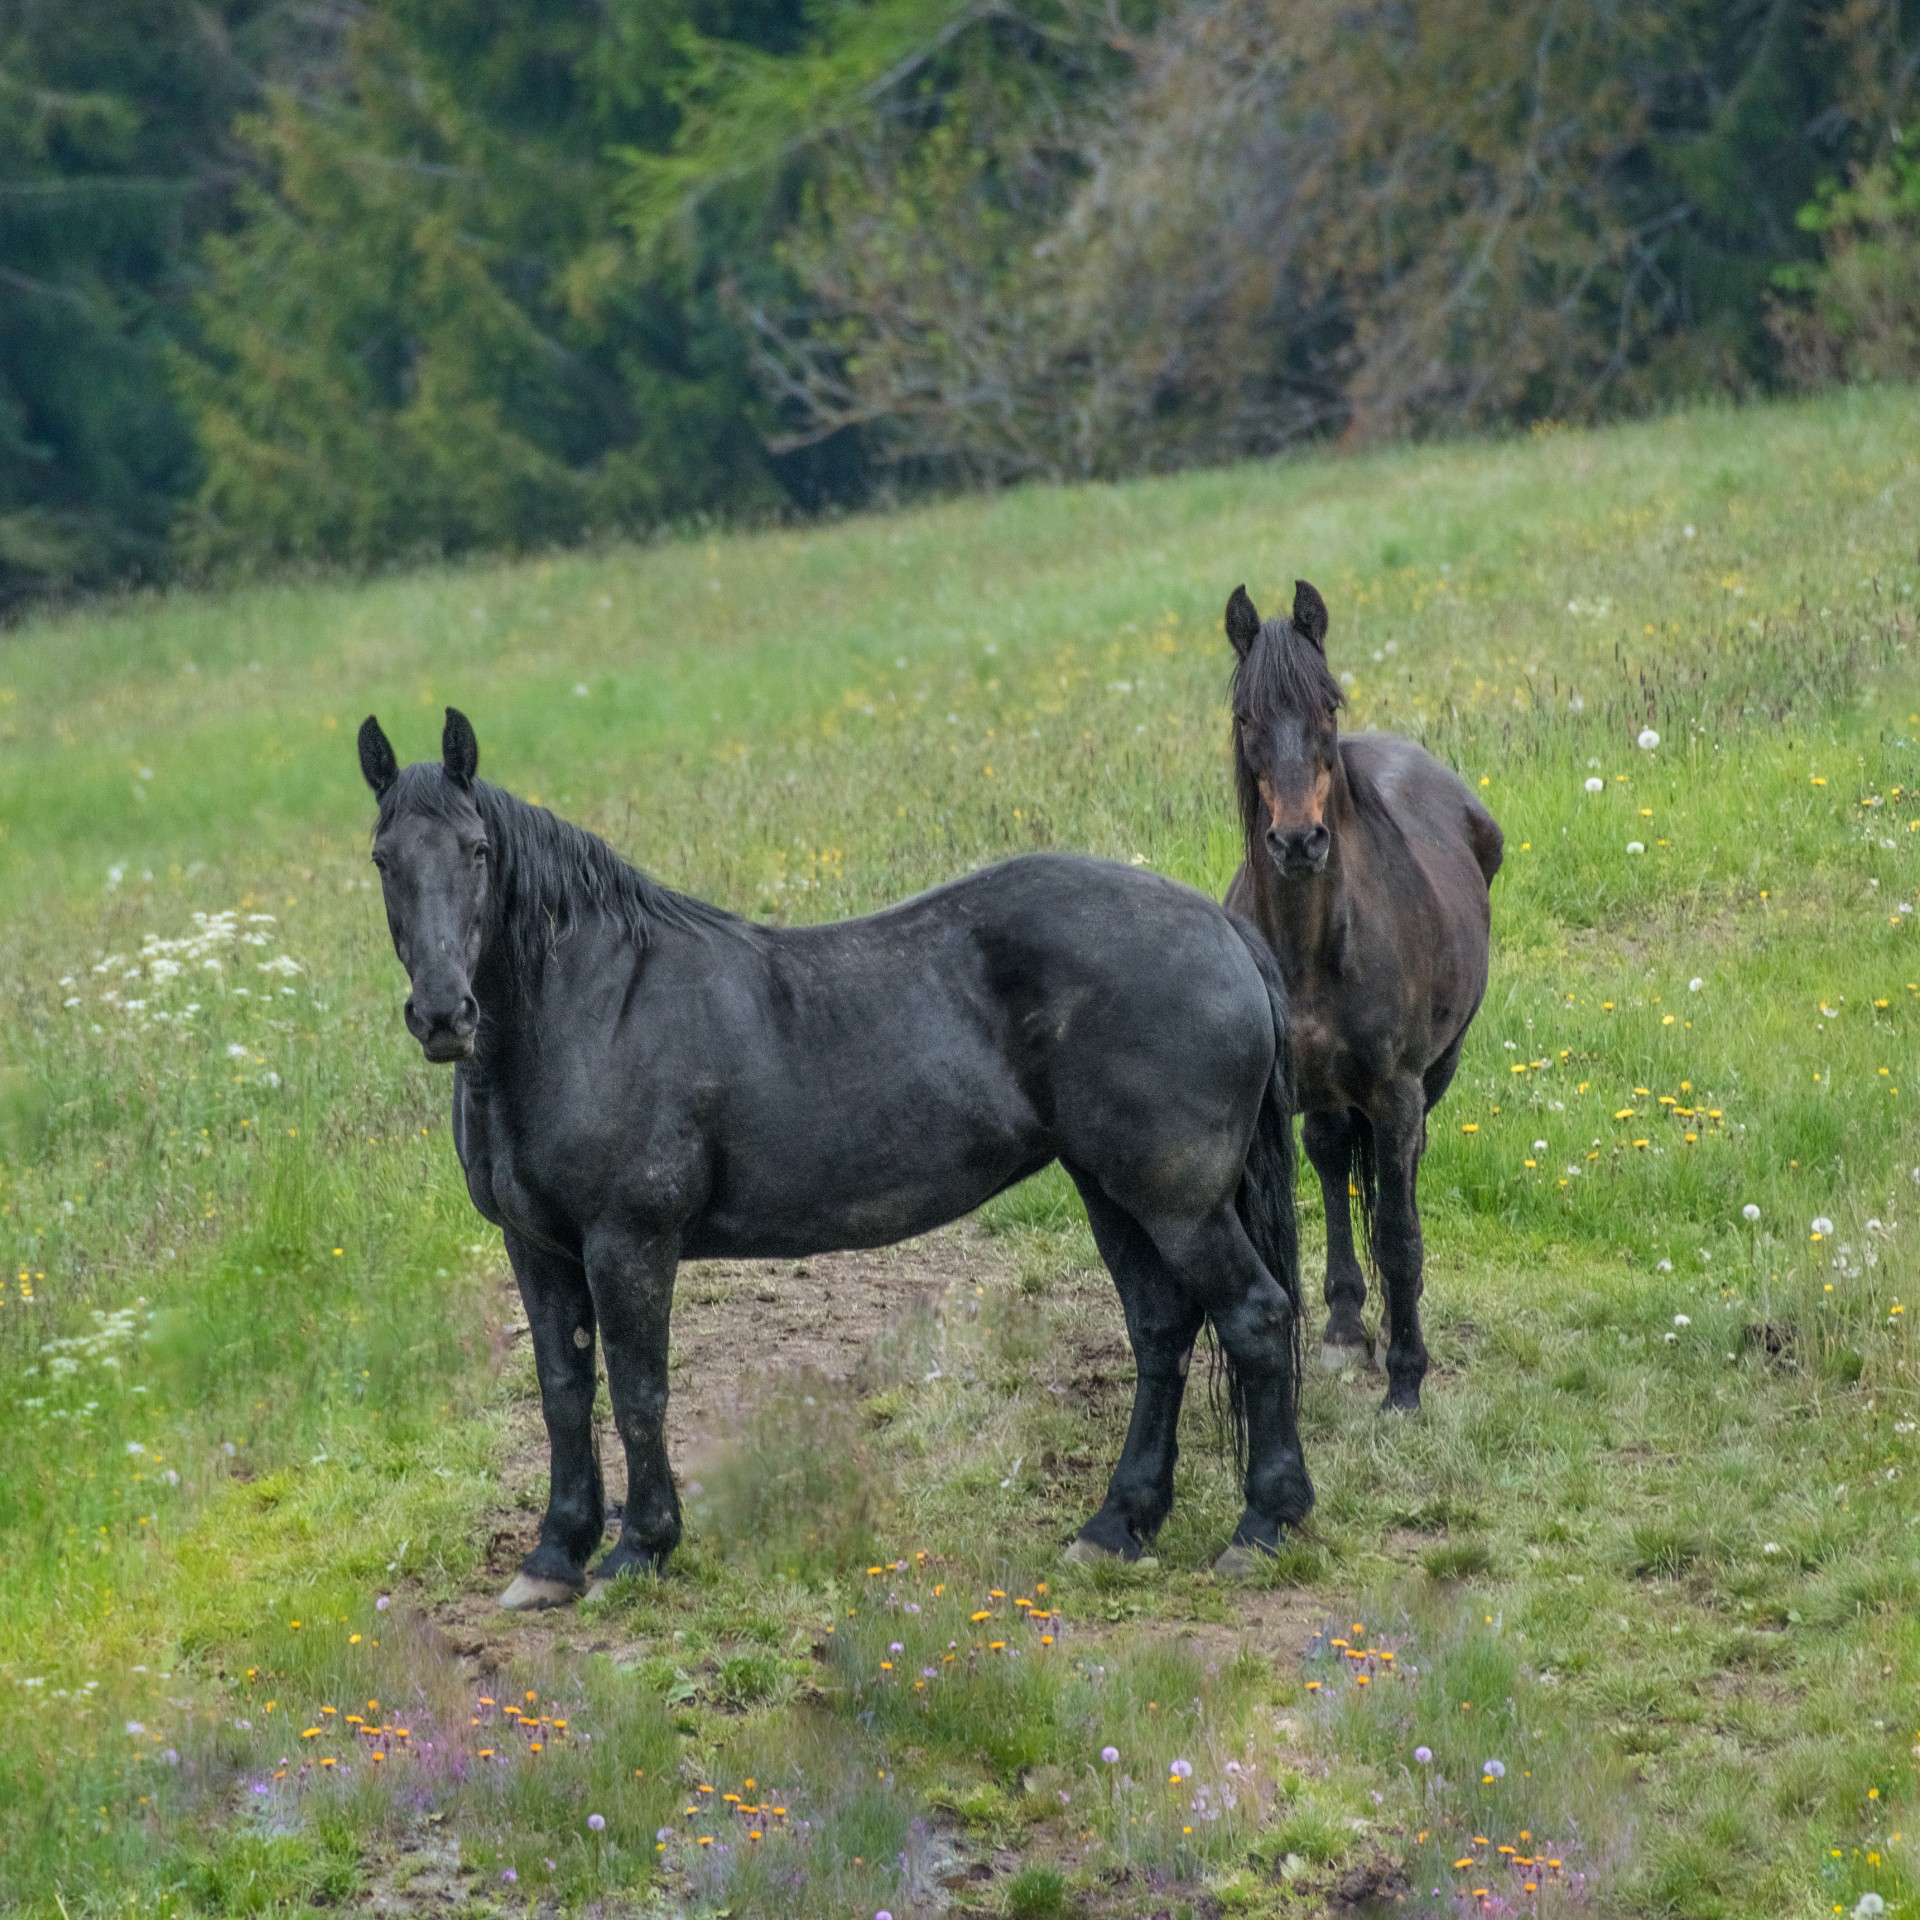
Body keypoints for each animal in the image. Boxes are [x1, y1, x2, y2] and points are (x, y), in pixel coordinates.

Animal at [358, 707, 1310, 1603]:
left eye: (478, 850)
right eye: (382, 860)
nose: (443, 1016)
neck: (592, 1010)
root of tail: (1221, 927)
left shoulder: (628, 1242)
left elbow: (638, 1392)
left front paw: (638, 1551)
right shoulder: (537, 1247)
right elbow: (563, 1391)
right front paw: (555, 1555)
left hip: (1178, 1202)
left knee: (1255, 1316)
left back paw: (1262, 1527)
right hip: (1113, 1193)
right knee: (1161, 1332)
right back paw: (1117, 1527)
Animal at [1221, 581, 1502, 1412]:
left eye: (1330, 705)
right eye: (1244, 715)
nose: (1297, 841)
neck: (1312, 951)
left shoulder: (1396, 1090)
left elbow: (1398, 1235)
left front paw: (1407, 1378)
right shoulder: (1281, 1100)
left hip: (1435, 1072)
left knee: (1397, 1170)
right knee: (1333, 1156)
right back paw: (1347, 1321)